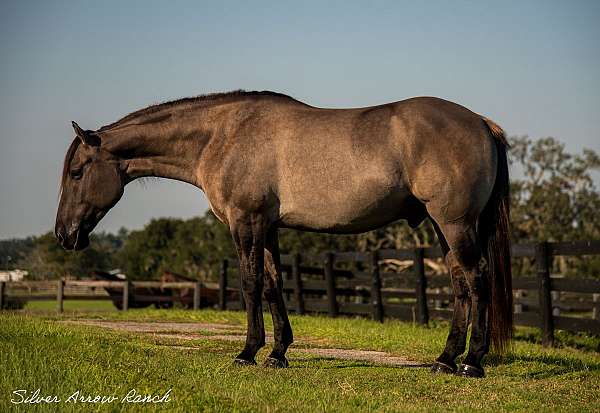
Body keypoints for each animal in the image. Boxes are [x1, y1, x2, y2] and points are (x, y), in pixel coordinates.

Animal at [56, 89, 510, 376]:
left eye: (77, 173)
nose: (64, 234)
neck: (221, 135)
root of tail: (481, 123)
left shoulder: (246, 222)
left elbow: (251, 283)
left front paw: (247, 352)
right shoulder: (267, 227)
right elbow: (274, 284)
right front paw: (277, 353)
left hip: (454, 223)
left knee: (477, 278)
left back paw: (471, 363)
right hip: (441, 227)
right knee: (460, 284)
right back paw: (445, 359)